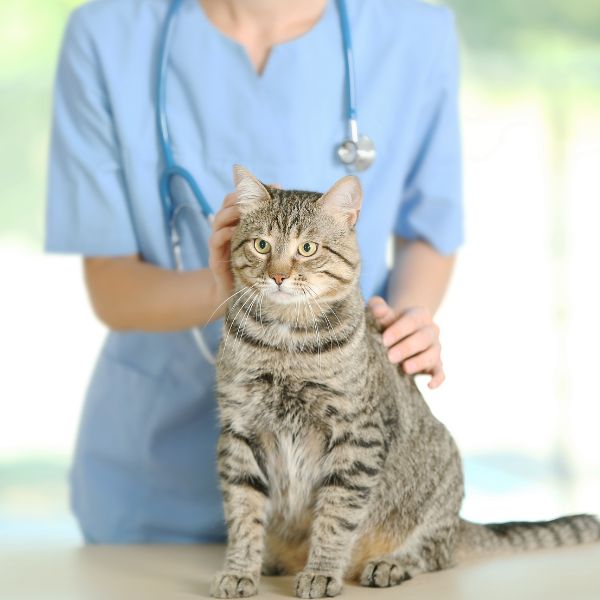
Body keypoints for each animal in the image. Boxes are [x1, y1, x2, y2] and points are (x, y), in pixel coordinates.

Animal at [210, 165, 600, 600]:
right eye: (261, 245)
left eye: (307, 248)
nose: (277, 275)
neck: (285, 343)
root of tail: (459, 523)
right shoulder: (240, 430)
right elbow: (243, 513)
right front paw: (240, 570)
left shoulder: (356, 435)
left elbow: (335, 516)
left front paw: (322, 571)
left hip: (443, 475)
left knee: (435, 553)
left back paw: (390, 564)